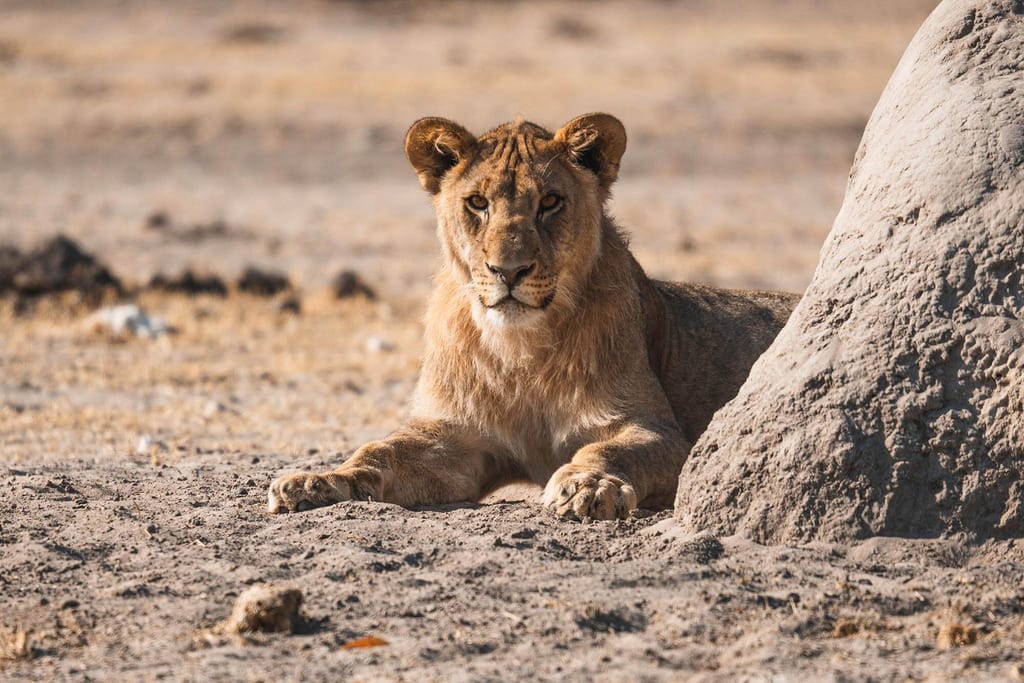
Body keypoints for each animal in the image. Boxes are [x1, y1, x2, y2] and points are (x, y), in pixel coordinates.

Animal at [268, 113, 799, 520]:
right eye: (477, 202)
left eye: (550, 202)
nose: (508, 270)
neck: (520, 349)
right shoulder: (455, 437)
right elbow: (378, 449)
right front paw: (318, 480)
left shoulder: (656, 429)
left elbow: (609, 449)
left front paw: (587, 486)